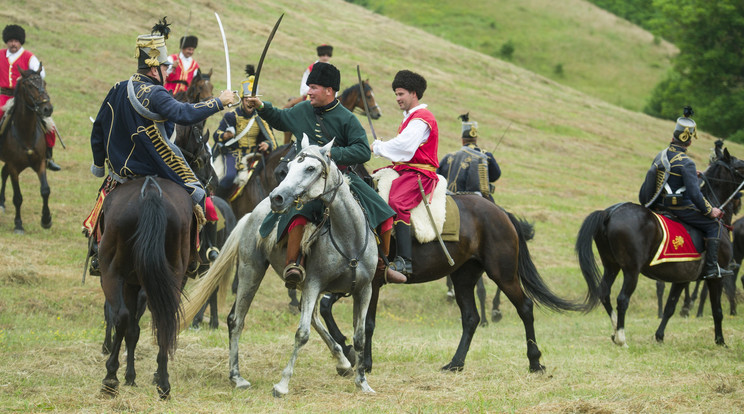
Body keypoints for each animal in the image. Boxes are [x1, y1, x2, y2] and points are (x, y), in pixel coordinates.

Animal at [0, 67, 53, 233]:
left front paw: (46, 219)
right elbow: (18, 197)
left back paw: (1, 203)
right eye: (29, 86)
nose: (47, 109)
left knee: (3, 173)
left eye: (44, 83)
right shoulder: (14, 167)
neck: (26, 133)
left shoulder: (40, 163)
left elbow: (45, 190)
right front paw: (18, 224)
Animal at [99, 176, 195, 400]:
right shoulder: (140, 286)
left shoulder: (129, 283)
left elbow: (129, 328)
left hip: (112, 273)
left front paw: (125, 376)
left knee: (121, 317)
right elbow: (135, 331)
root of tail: (150, 190)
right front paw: (132, 376)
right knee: (165, 321)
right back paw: (163, 383)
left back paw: (110, 379)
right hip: (172, 276)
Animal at [181, 134, 378, 396]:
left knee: (313, 317)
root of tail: (252, 214)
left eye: (310, 168)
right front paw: (283, 384)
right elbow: (302, 334)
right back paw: (237, 376)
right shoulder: (314, 284)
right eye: (290, 166)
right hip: (251, 271)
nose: (277, 197)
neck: (349, 238)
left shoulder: (364, 290)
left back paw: (343, 362)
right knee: (236, 320)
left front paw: (363, 382)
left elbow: (359, 337)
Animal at [580, 147, 744, 348]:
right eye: (740, 165)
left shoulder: (682, 278)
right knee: (622, 299)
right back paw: (621, 337)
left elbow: (670, 307)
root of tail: (610, 213)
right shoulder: (716, 278)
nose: (738, 205)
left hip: (612, 266)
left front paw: (659, 336)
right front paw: (720, 341)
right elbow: (717, 311)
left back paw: (614, 330)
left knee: (604, 293)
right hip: (631, 270)